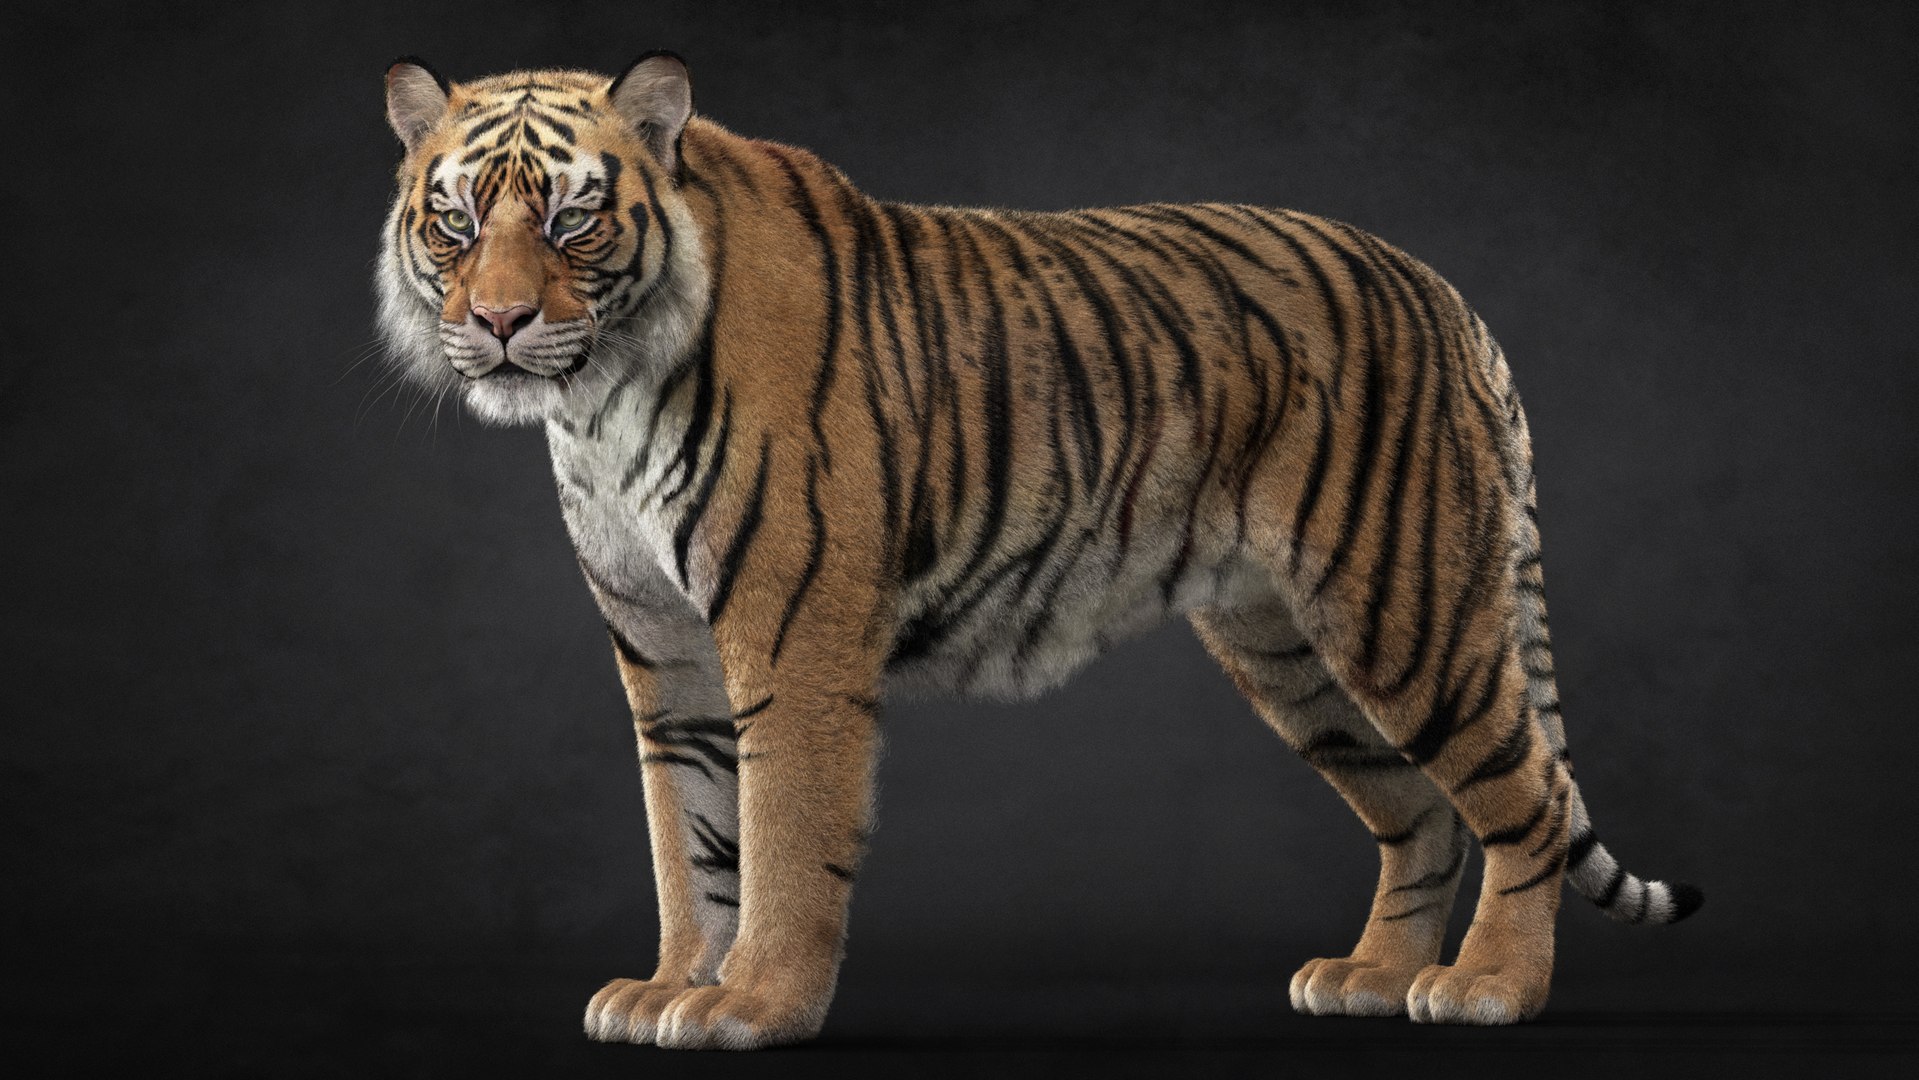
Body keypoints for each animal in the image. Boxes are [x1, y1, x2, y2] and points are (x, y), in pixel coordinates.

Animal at [375, 52, 1701, 1050]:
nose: (498, 322)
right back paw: (1370, 978)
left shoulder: (789, 631)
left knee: (1525, 801)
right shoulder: (662, 651)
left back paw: (1487, 989)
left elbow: (781, 833)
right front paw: (672, 986)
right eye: (453, 219)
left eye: (571, 216)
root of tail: (1447, 298)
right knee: (1420, 809)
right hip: (1289, 649)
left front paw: (752, 1003)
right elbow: (686, 835)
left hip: (1403, 605)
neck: (601, 398)